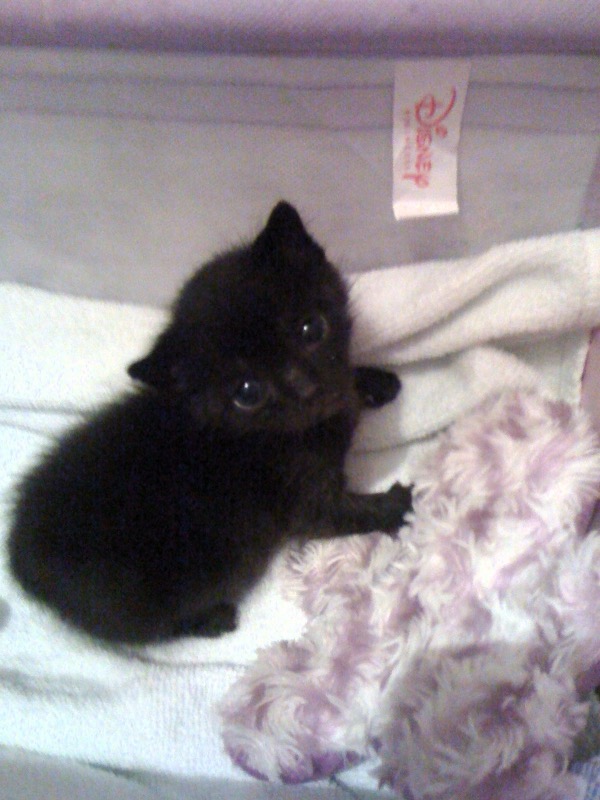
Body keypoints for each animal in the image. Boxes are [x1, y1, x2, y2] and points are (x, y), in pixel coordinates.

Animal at [8, 202, 412, 645]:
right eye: (248, 392)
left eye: (311, 328)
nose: (305, 389)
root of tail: (20, 561)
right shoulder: (300, 494)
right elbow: (341, 513)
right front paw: (401, 504)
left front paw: (374, 381)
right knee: (155, 630)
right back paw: (214, 618)